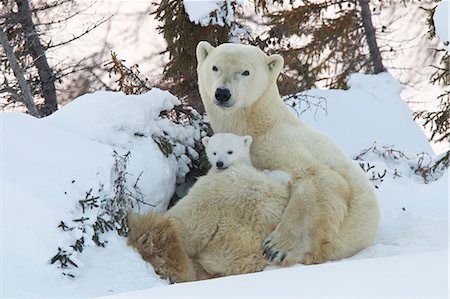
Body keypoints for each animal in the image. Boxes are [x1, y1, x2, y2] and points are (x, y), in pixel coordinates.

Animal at [196, 41, 380, 266]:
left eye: (245, 71)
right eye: (215, 67)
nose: (222, 93)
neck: (260, 124)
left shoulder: (282, 142)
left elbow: (322, 178)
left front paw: (277, 247)